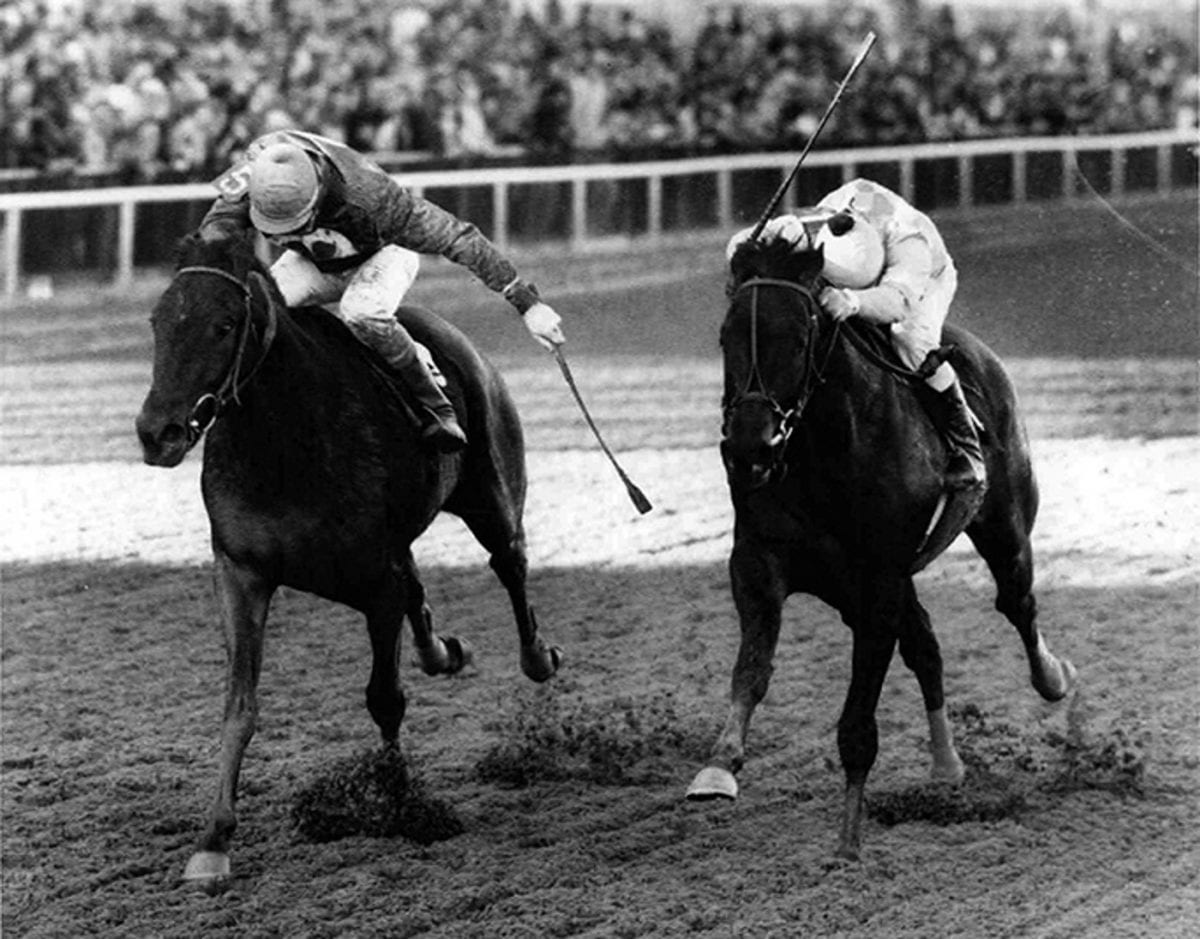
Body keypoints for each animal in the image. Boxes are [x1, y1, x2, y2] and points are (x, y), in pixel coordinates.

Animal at [136, 231, 561, 888]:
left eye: (224, 325)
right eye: (158, 321)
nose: (157, 433)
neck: (285, 445)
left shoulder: (376, 583)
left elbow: (384, 697)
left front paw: (401, 805)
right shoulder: (240, 571)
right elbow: (239, 706)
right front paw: (212, 843)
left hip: (491, 492)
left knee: (509, 564)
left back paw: (536, 657)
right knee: (424, 588)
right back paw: (440, 651)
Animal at [686, 237, 1080, 859]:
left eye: (799, 339)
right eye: (726, 337)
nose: (749, 448)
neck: (825, 449)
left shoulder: (878, 581)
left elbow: (857, 721)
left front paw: (848, 840)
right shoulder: (759, 561)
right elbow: (752, 669)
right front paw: (718, 768)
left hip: (1005, 529)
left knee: (1016, 603)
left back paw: (1053, 678)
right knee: (926, 646)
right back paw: (946, 765)